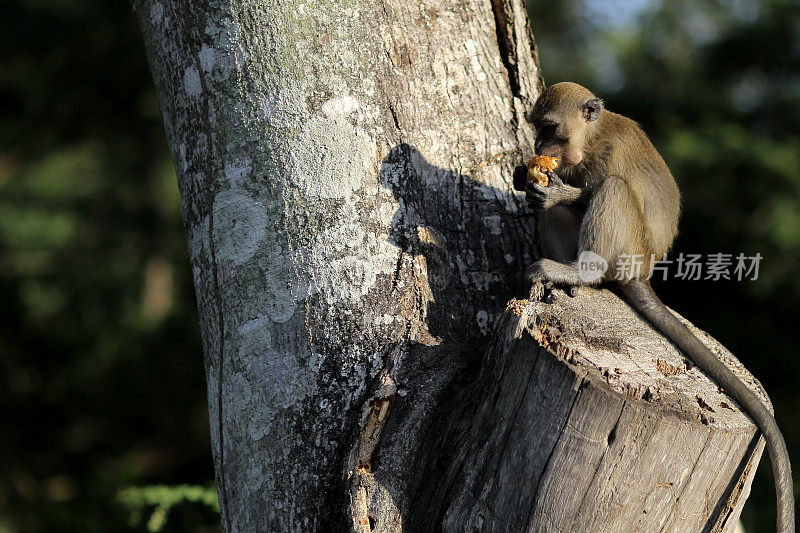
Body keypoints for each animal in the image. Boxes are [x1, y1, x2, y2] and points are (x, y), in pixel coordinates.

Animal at [520, 81, 792, 528]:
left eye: (550, 128)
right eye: (538, 129)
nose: (539, 146)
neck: (590, 141)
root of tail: (643, 271)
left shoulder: (609, 155)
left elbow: (590, 189)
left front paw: (557, 189)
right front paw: (525, 179)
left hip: (628, 248)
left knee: (612, 189)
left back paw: (583, 272)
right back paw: (568, 275)